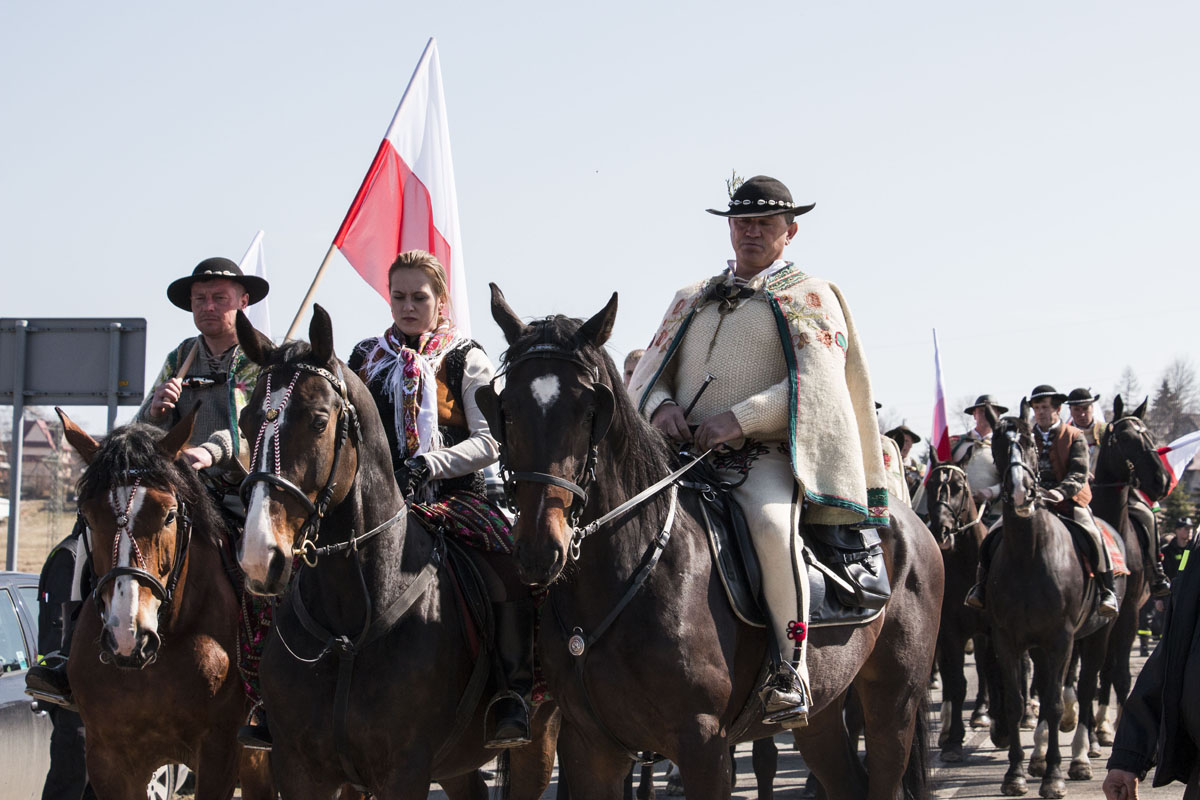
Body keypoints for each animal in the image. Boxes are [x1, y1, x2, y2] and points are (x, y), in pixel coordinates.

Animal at [231, 307, 558, 799]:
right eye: (247, 421)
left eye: (319, 421)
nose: (259, 554)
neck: (349, 627)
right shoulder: (301, 769)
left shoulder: (405, 770)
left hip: (538, 742)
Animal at [478, 285, 942, 800]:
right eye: (505, 408)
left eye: (590, 411)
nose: (540, 548)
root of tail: (904, 517)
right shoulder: (589, 749)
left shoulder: (703, 745)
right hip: (823, 711)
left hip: (893, 701)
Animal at [982, 400, 1115, 798]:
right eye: (997, 445)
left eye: (1028, 442)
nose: (1021, 493)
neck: (1030, 554)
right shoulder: (1007, 639)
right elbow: (1015, 702)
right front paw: (1015, 774)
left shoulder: (1062, 638)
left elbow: (1056, 704)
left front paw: (1054, 776)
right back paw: (1039, 757)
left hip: (1097, 636)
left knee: (1084, 690)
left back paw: (1079, 758)